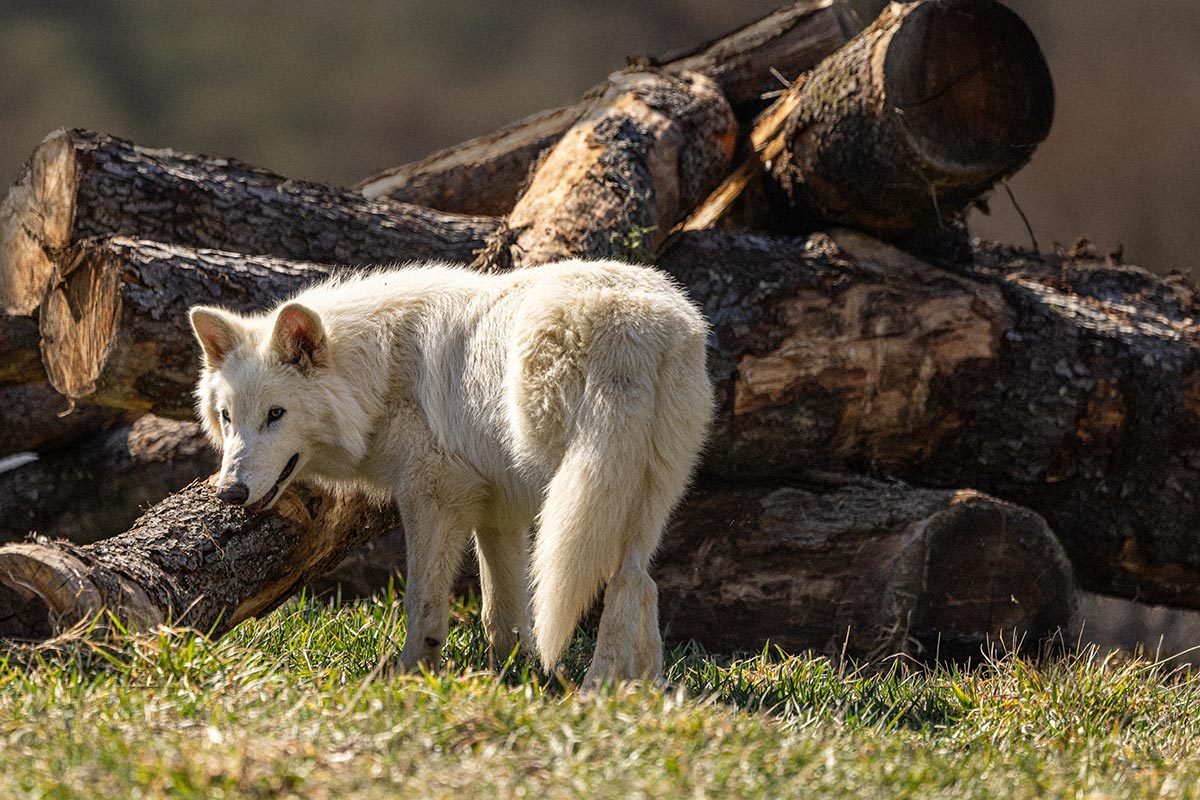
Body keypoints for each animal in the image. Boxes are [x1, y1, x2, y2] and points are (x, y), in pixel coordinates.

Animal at [189, 259, 713, 686]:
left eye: (276, 415)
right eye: (228, 417)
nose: (230, 492)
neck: (379, 373)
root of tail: (635, 326)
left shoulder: (435, 498)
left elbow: (422, 602)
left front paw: (409, 675)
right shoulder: (499, 513)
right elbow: (501, 613)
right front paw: (510, 677)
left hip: (573, 496)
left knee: (619, 582)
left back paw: (596, 690)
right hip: (637, 499)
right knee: (637, 582)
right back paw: (641, 690)